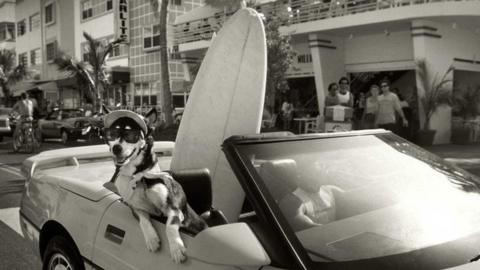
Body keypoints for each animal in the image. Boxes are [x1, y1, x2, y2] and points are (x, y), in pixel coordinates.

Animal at [103, 106, 208, 264]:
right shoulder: (135, 208)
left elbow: (169, 227)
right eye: (111, 134)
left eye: (131, 135)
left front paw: (176, 248)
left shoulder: (173, 209)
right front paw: (151, 239)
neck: (137, 175)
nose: (116, 147)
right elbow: (143, 221)